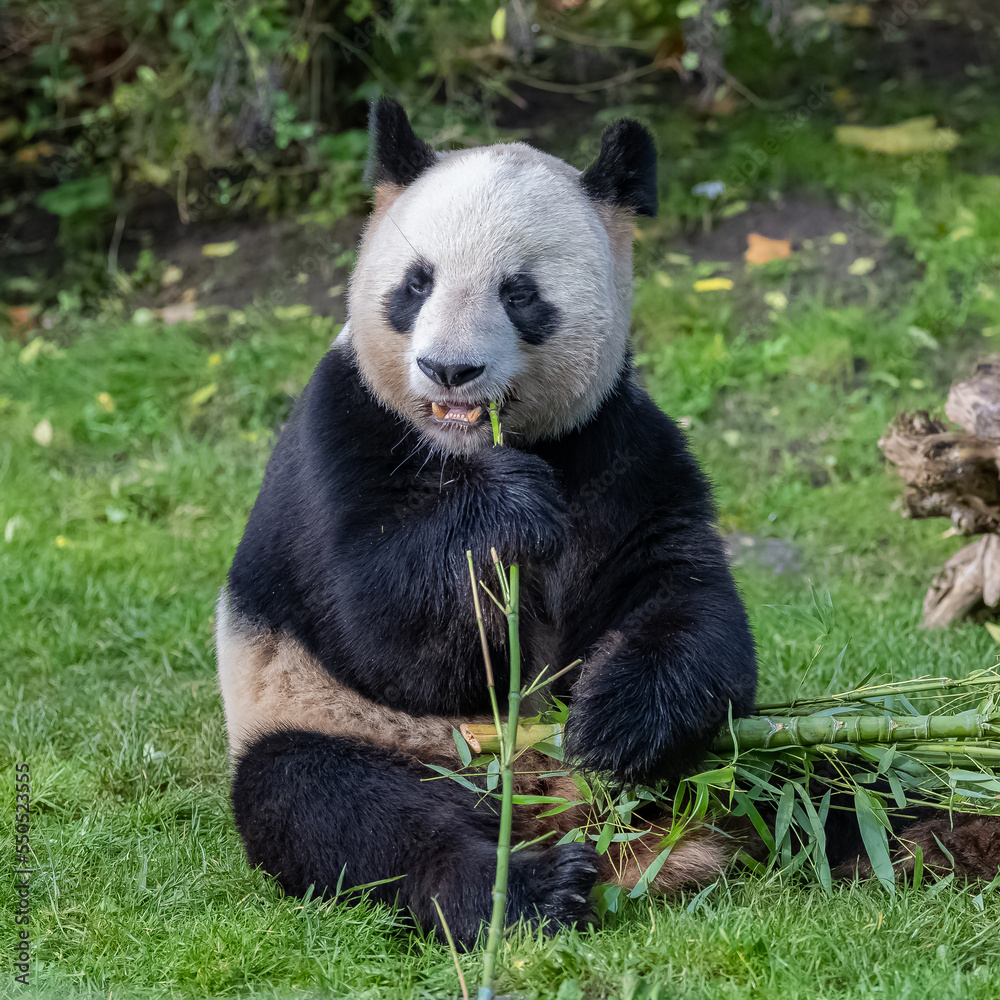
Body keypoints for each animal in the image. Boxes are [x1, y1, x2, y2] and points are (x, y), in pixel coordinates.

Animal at [215, 100, 998, 945]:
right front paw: (506, 514)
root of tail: (578, 817)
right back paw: (523, 890)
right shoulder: (342, 436)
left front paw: (612, 720)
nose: (450, 370)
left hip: (757, 755)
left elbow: (682, 598)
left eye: (519, 293)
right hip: (354, 729)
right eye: (416, 283)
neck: (474, 448)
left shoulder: (620, 446)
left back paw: (950, 823)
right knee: (339, 808)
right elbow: (383, 631)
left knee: (848, 781)